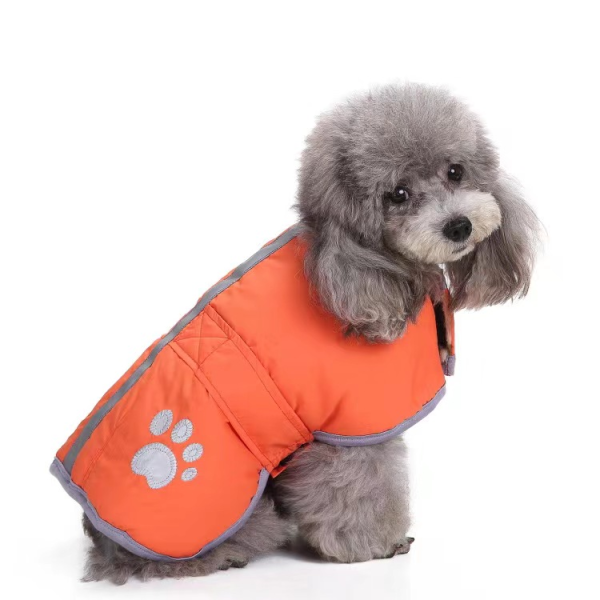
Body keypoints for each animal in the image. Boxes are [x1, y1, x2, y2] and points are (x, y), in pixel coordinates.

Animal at [80, 83, 538, 583]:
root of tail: (98, 536)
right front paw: (374, 544)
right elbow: (361, 486)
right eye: (397, 194)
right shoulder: (351, 429)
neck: (366, 268)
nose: (458, 226)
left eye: (456, 171)